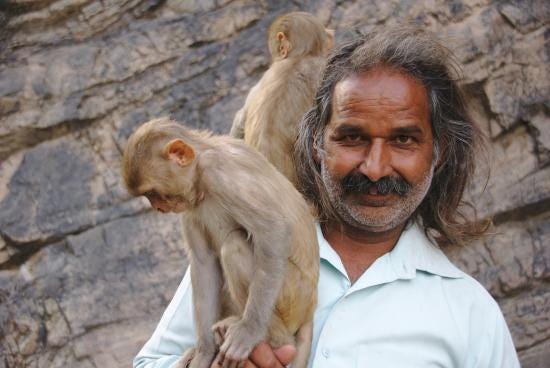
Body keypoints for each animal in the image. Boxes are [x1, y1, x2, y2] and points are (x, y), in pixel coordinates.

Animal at [121, 118, 320, 368]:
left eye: (153, 192)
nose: (157, 207)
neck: (200, 173)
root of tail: (310, 306)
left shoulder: (218, 172)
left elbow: (274, 230)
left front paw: (249, 331)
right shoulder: (190, 206)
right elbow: (204, 264)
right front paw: (205, 351)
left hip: (293, 293)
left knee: (235, 245)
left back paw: (270, 337)